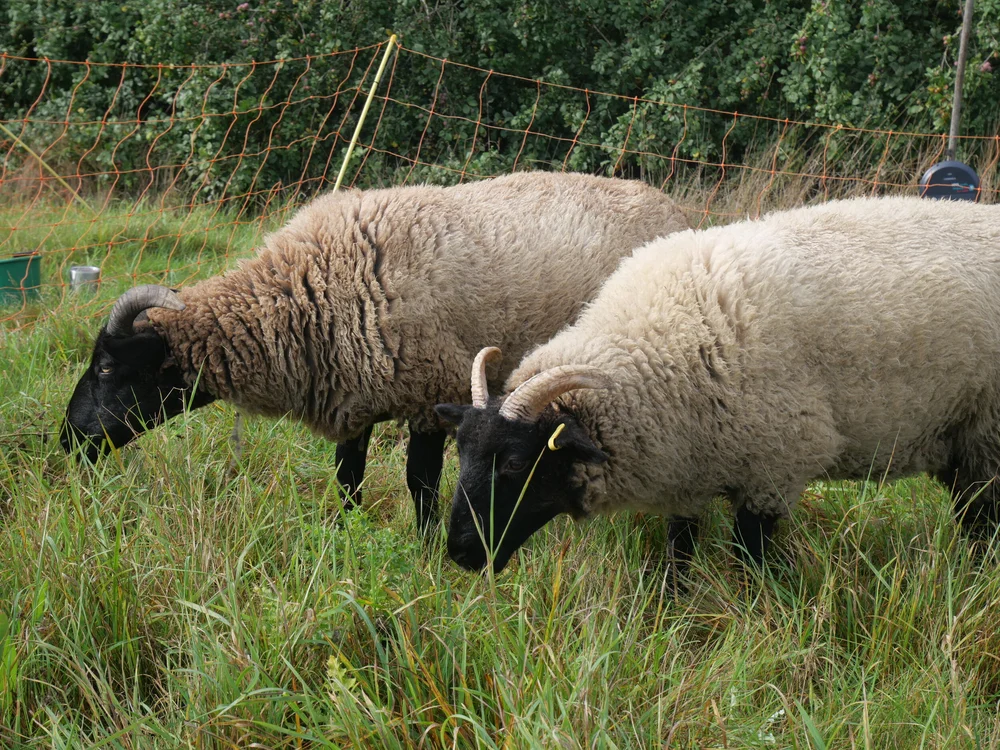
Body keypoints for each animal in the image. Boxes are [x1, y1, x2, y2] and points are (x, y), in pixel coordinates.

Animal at [60, 171, 689, 532]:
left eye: (108, 367)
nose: (67, 443)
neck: (309, 289)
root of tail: (677, 208)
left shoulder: (434, 391)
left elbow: (420, 482)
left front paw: (426, 547)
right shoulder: (353, 396)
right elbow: (348, 478)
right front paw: (344, 541)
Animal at [437, 196, 1000, 573]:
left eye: (514, 463)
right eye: (459, 450)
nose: (459, 553)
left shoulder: (777, 465)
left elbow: (748, 557)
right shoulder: (688, 468)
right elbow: (678, 552)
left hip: (987, 429)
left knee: (984, 519)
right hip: (961, 437)